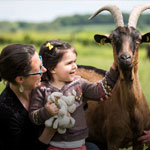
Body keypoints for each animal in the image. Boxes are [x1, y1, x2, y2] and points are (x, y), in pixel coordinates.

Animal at [77, 5, 150, 149]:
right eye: (112, 39)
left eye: (138, 39)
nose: (125, 58)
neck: (131, 111)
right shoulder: (113, 141)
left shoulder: (139, 140)